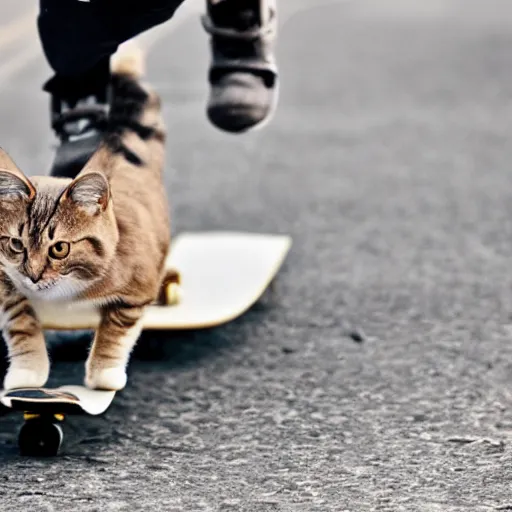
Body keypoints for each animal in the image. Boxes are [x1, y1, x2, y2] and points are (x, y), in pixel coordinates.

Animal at [0, 47, 172, 392]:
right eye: (16, 244)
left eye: (60, 249)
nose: (33, 277)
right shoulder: (5, 283)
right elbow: (20, 319)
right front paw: (28, 371)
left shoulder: (139, 286)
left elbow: (116, 328)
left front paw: (103, 373)